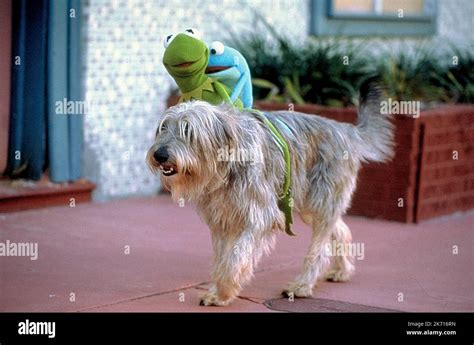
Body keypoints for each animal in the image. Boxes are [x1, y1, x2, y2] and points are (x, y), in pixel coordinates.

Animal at [146, 79, 394, 306]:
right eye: (163, 128)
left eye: (188, 131)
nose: (159, 155)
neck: (227, 165)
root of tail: (345, 129)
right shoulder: (222, 222)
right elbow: (222, 258)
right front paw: (220, 290)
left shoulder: (260, 218)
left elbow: (236, 256)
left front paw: (224, 291)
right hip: (311, 206)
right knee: (340, 229)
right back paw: (342, 271)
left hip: (321, 202)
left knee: (319, 249)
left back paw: (302, 285)